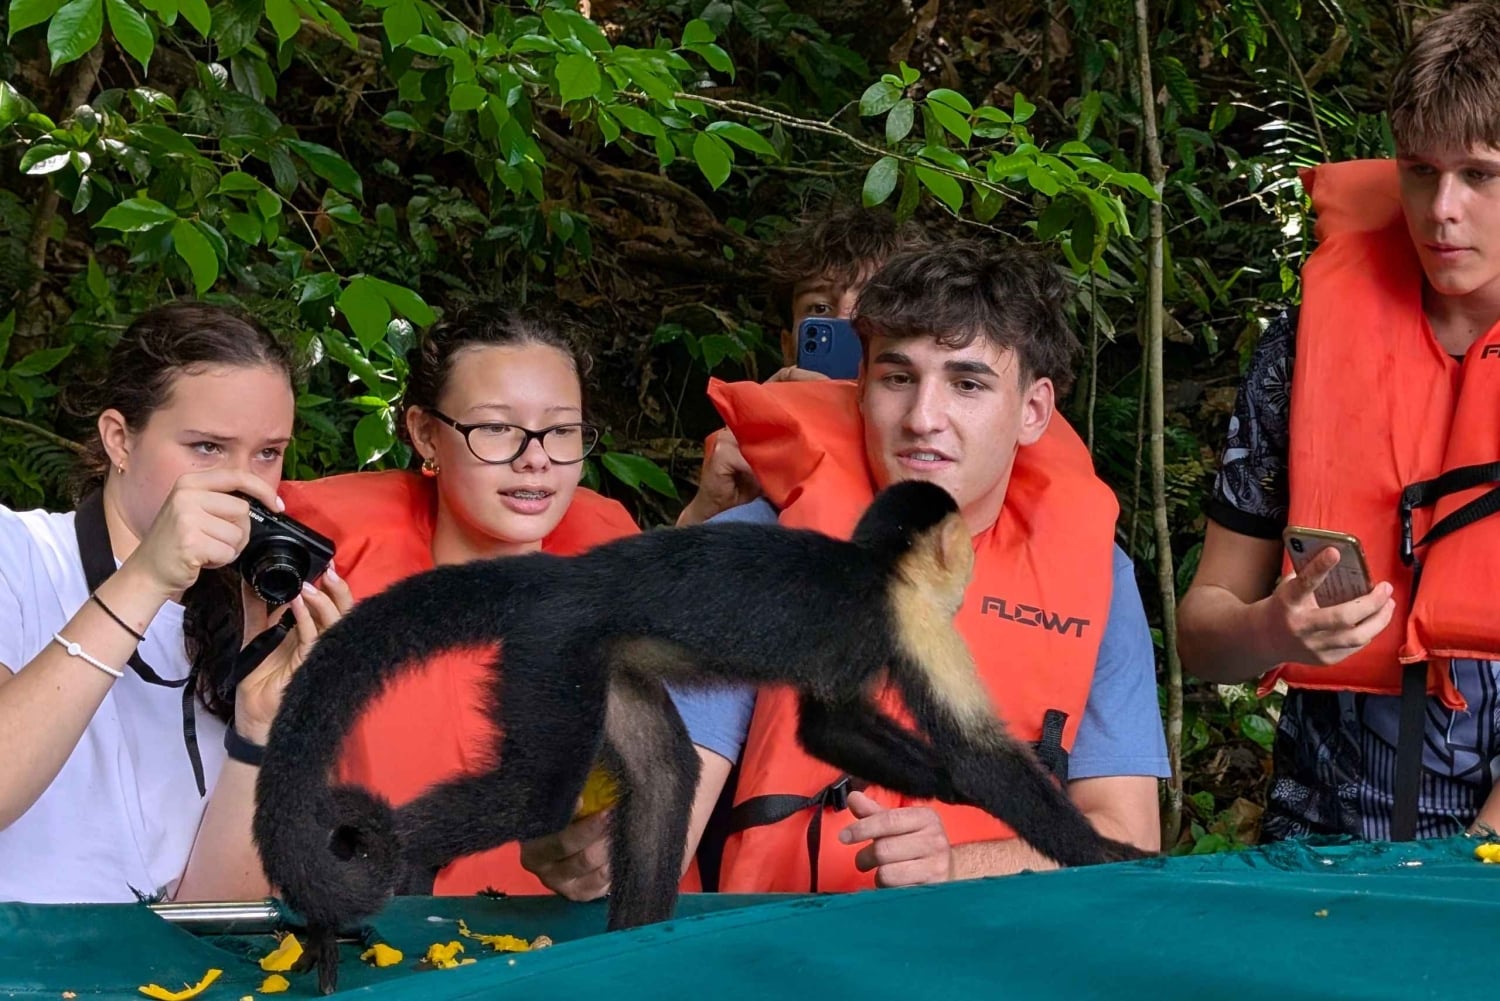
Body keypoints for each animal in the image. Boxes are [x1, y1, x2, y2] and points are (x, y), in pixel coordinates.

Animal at [251, 480, 1149, 993]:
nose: (966, 571)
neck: (877, 565)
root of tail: (561, 573)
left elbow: (828, 724)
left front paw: (938, 790)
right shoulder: (915, 617)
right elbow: (974, 752)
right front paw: (1106, 851)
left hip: (592, 659)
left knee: (664, 772)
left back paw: (639, 940)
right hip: (551, 646)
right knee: (536, 794)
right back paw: (355, 898)